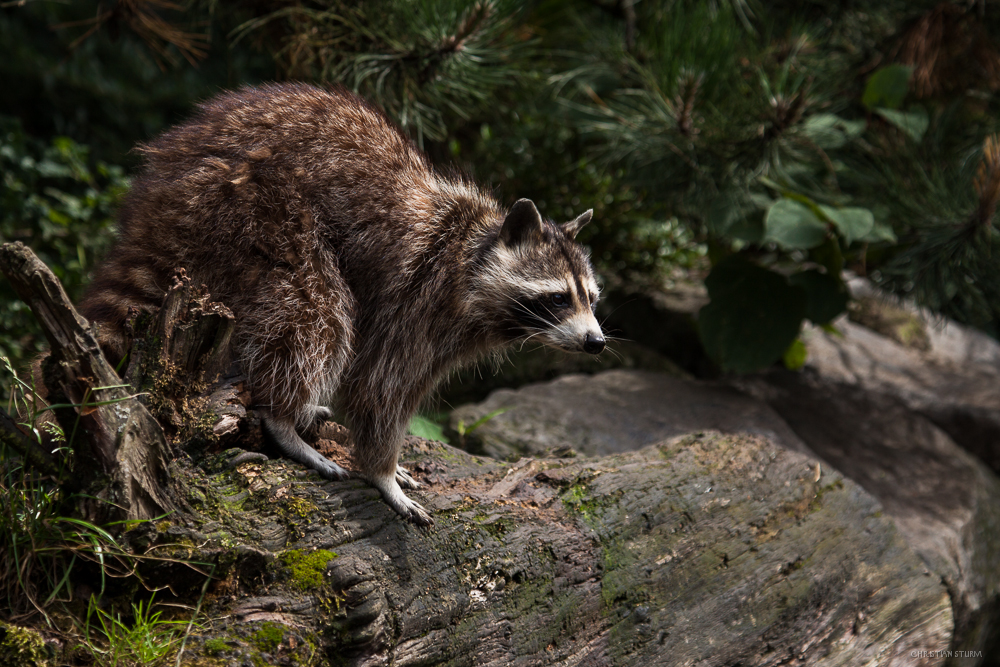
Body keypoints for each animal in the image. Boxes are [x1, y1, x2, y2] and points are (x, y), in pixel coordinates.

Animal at [80, 82, 600, 528]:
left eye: (591, 298)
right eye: (558, 298)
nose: (596, 341)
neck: (470, 255)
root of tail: (161, 190)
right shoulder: (419, 300)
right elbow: (378, 388)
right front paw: (383, 471)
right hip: (255, 209)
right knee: (315, 313)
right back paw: (282, 415)